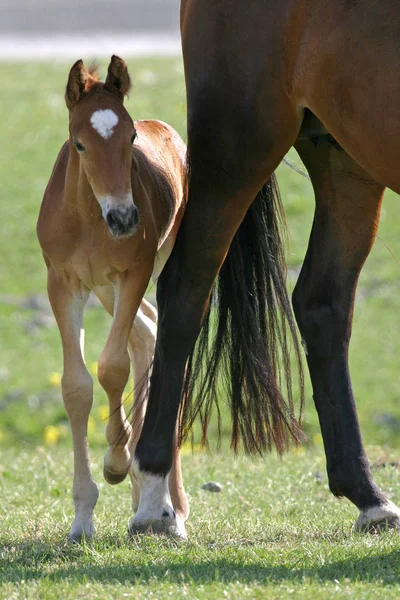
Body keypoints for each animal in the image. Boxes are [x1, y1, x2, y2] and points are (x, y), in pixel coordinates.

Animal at [37, 56, 189, 540]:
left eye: (131, 138)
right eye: (79, 144)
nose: (124, 218)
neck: (88, 217)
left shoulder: (133, 273)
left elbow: (112, 367)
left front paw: (118, 461)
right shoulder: (63, 284)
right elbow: (76, 386)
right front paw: (82, 517)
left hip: (139, 275)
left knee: (156, 343)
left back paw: (172, 506)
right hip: (104, 290)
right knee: (148, 333)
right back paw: (147, 500)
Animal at [128, 0, 400, 536]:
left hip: (346, 160)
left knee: (322, 303)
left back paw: (368, 496)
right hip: (236, 150)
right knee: (186, 291)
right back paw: (154, 501)